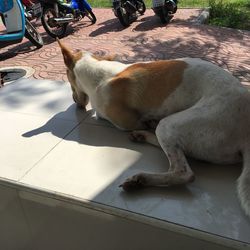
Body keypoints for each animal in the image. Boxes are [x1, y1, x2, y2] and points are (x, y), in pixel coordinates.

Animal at [57, 39, 250, 217]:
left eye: (67, 75)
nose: (75, 102)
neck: (98, 71)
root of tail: (246, 133)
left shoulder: (125, 122)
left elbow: (103, 115)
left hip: (171, 125)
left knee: (183, 172)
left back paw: (140, 179)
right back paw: (143, 136)